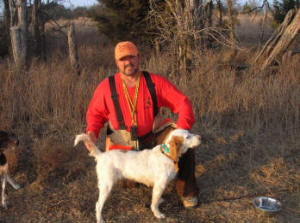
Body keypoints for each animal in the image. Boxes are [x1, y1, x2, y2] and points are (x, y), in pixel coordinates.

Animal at [74, 129, 202, 223]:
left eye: (190, 132)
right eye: (187, 137)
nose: (200, 137)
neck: (166, 155)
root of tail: (101, 155)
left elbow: (157, 200)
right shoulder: (159, 185)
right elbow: (154, 203)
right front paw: (158, 214)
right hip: (106, 186)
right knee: (98, 205)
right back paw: (100, 219)